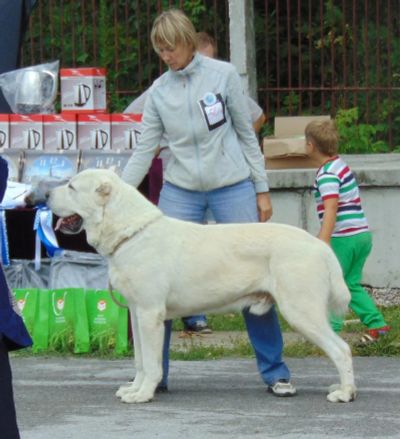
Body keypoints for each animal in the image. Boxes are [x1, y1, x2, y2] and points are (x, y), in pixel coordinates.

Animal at [47, 168, 356, 406]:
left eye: (72, 186)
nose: (45, 194)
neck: (130, 232)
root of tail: (318, 245)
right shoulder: (136, 313)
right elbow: (140, 360)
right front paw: (134, 388)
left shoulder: (150, 314)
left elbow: (152, 362)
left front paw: (143, 395)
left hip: (301, 311)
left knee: (341, 349)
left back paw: (344, 393)